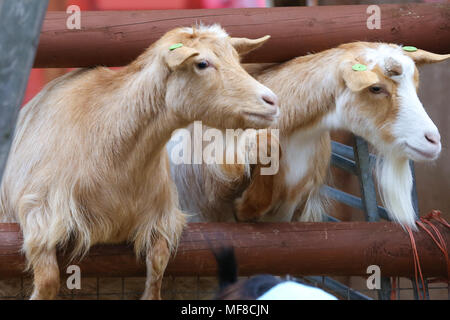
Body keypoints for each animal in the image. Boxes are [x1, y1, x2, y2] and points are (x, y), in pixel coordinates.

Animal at [0, 25, 280, 300]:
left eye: (237, 59)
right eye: (202, 63)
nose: (272, 101)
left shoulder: (162, 217)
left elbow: (158, 262)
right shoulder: (39, 212)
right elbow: (47, 280)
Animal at [170, 41, 450, 229]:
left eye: (415, 84)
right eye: (376, 88)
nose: (432, 140)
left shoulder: (289, 209)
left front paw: (246, 206)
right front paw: (245, 205)